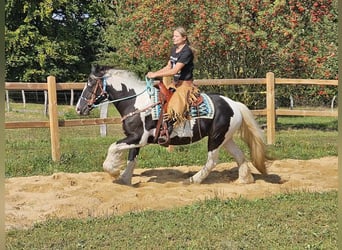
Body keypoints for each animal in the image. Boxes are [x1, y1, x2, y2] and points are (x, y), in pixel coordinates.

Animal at [75, 65, 268, 185]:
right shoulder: (135, 139)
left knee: (212, 160)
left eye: (90, 83)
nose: (79, 108)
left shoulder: (138, 137)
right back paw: (244, 180)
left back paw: (193, 180)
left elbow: (113, 147)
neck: (137, 102)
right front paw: (124, 179)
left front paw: (113, 171)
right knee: (239, 155)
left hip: (215, 138)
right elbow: (131, 159)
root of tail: (234, 104)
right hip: (225, 138)